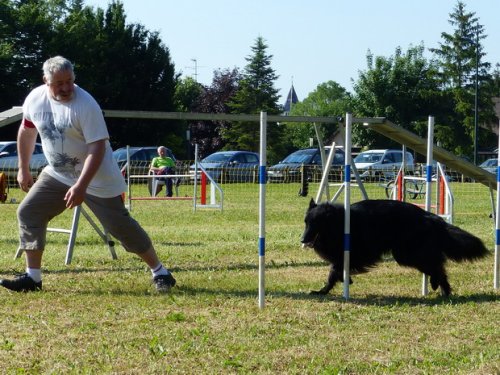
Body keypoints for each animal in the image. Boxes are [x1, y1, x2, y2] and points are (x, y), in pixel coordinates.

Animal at [300, 200, 488, 296]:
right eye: (306, 222)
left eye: (315, 223)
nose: (302, 239)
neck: (338, 222)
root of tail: (428, 215)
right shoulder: (344, 256)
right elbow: (334, 271)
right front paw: (325, 290)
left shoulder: (353, 254)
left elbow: (334, 271)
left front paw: (334, 285)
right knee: (437, 266)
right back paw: (443, 290)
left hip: (407, 254)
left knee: (436, 267)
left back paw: (439, 286)